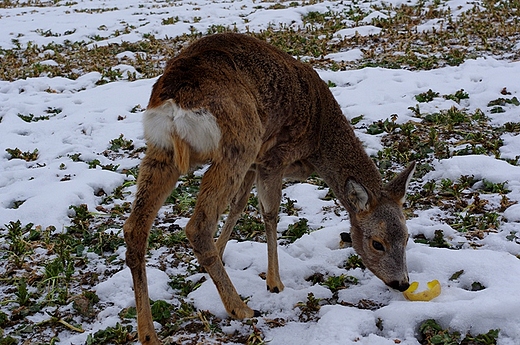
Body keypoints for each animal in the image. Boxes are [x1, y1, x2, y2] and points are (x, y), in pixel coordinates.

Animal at [124, 31, 416, 342]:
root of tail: (175, 102)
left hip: (162, 152)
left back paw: (148, 333)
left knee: (135, 228)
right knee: (197, 226)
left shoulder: (255, 164)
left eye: (408, 237)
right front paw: (275, 282)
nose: (402, 283)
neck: (319, 138)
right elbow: (270, 213)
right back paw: (240, 307)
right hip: (239, 143)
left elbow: (238, 206)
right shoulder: (273, 157)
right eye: (377, 243)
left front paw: (221, 252)